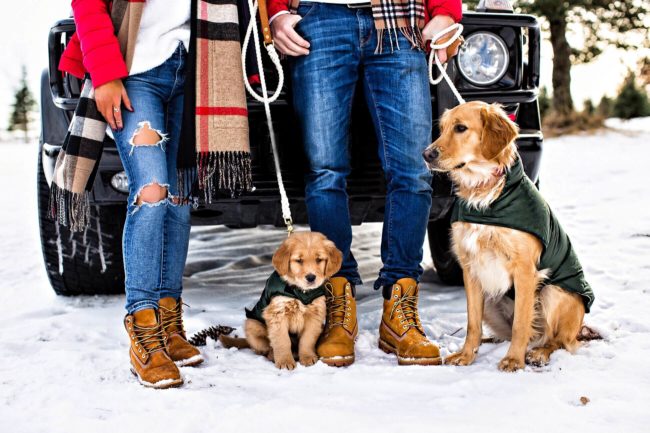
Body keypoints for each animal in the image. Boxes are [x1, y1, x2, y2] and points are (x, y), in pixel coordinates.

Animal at [220, 231, 342, 370]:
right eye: (299, 260)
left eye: (319, 259)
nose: (311, 278)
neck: (300, 293)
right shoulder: (277, 314)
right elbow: (282, 341)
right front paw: (285, 361)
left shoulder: (315, 316)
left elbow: (307, 339)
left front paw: (307, 357)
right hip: (252, 324)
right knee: (265, 349)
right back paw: (273, 356)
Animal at [422, 101, 596, 372]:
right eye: (442, 129)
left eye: (461, 128)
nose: (427, 154)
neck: (484, 196)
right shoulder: (471, 270)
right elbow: (472, 323)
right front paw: (466, 355)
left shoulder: (525, 270)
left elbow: (520, 324)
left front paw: (514, 359)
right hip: (492, 299)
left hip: (551, 292)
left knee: (557, 340)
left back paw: (539, 353)